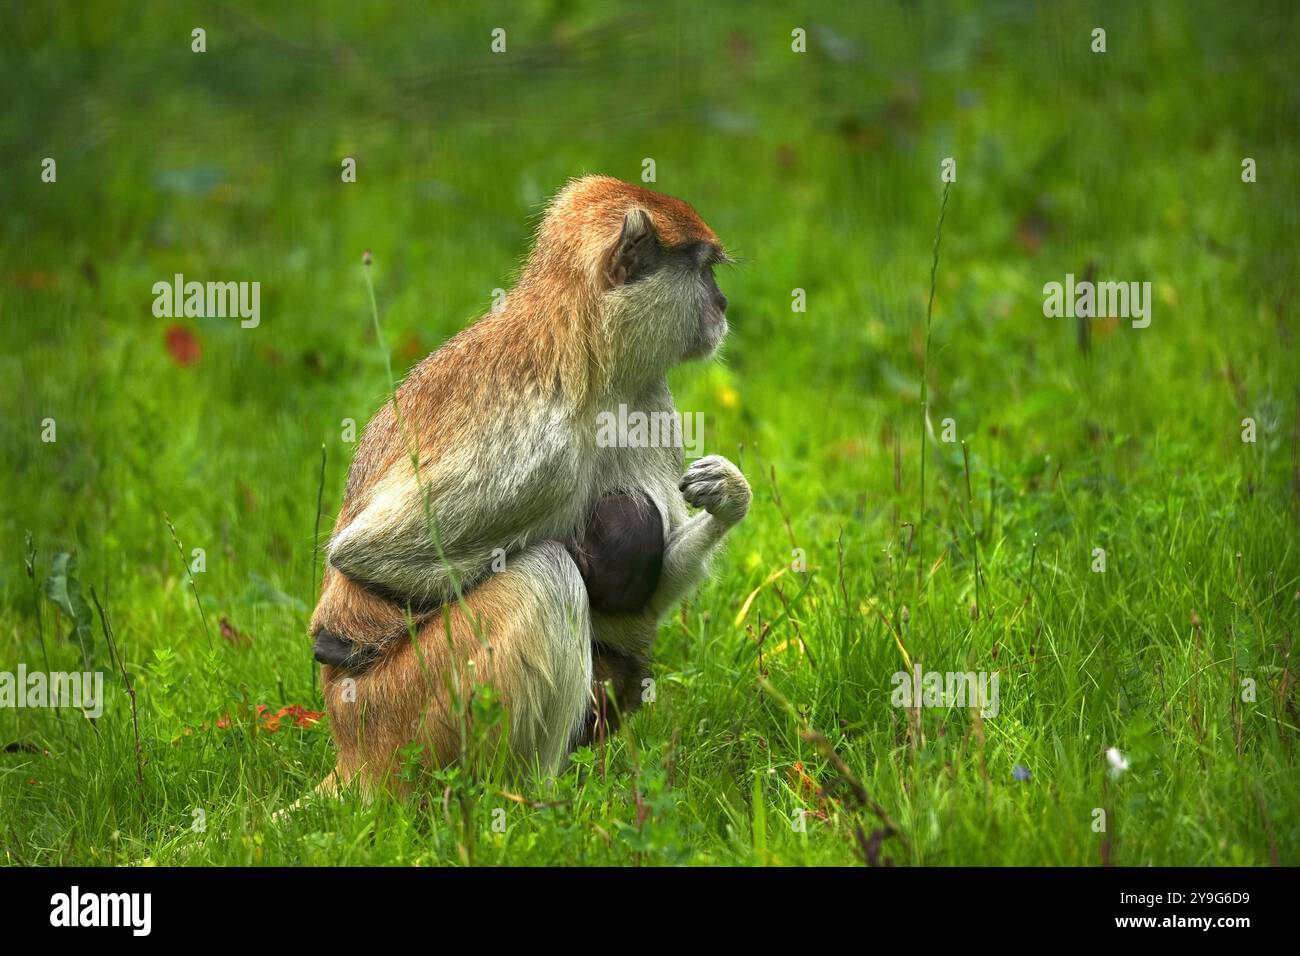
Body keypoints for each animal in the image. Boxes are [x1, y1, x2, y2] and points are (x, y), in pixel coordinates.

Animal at [309, 175, 751, 793]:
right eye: (704, 271)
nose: (723, 305)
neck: (586, 343)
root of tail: (350, 749)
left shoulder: (645, 398)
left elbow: (642, 600)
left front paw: (729, 494)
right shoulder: (543, 445)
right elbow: (363, 556)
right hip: (402, 714)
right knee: (545, 577)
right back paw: (535, 797)